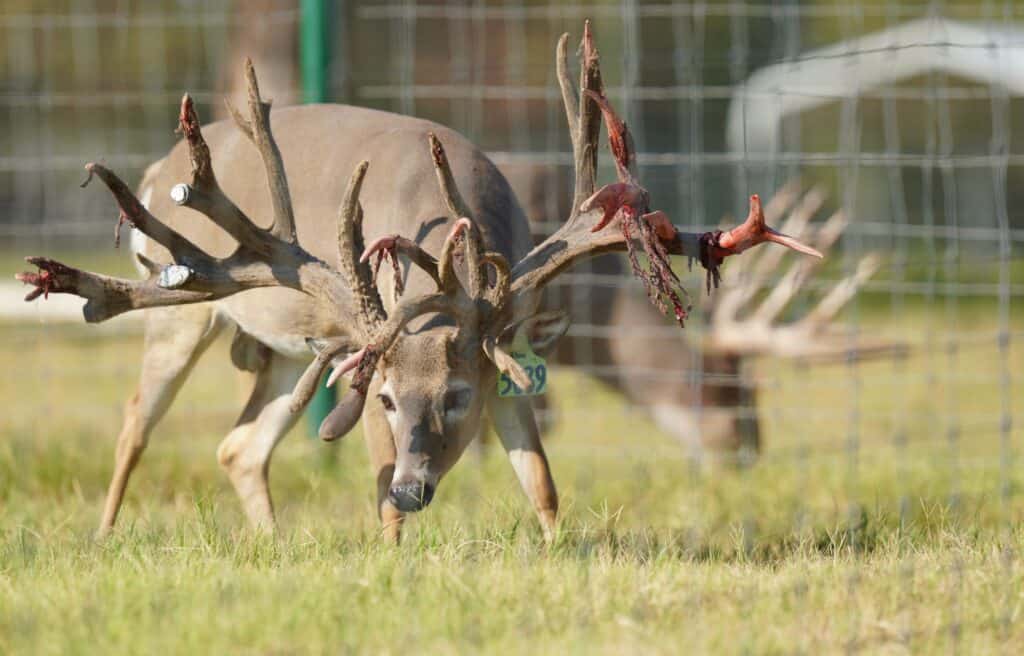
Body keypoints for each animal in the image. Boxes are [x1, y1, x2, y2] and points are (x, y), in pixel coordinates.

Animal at [17, 22, 823, 542]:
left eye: (460, 395)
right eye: (385, 396)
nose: (415, 485)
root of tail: (159, 168)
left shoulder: (513, 342)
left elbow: (542, 479)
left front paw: (560, 553)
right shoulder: (369, 353)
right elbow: (378, 487)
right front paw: (389, 560)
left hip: (285, 346)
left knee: (238, 446)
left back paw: (274, 547)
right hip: (182, 310)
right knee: (135, 422)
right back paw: (104, 537)